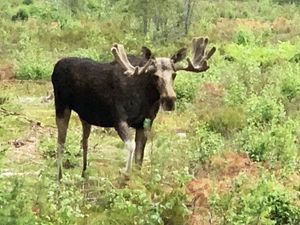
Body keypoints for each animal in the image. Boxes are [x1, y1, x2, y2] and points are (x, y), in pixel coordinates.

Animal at [52, 37, 216, 181]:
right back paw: (59, 177)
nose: (169, 100)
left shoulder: (145, 124)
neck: (146, 99)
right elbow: (131, 146)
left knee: (84, 140)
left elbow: (140, 156)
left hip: (85, 115)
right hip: (61, 106)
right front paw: (125, 175)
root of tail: (56, 66)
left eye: (174, 74)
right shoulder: (119, 120)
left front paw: (136, 178)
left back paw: (84, 173)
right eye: (155, 76)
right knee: (60, 142)